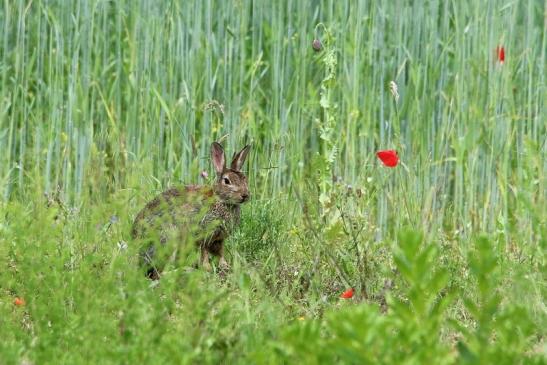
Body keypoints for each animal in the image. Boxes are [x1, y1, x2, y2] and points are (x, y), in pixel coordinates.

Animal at [132, 142, 252, 278]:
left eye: (244, 178)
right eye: (227, 181)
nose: (245, 195)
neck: (221, 200)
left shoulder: (218, 239)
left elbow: (220, 253)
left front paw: (225, 266)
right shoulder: (202, 235)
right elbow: (204, 253)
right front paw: (207, 268)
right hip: (169, 239)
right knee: (161, 273)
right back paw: (187, 270)